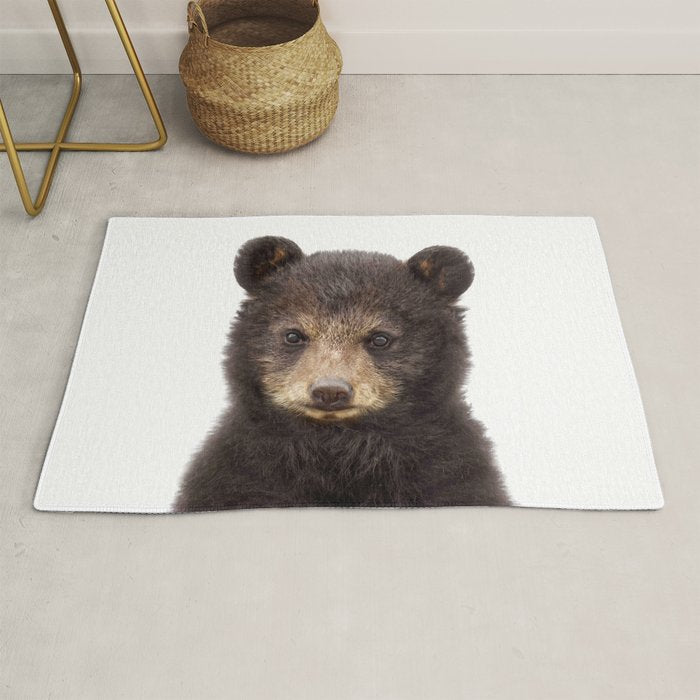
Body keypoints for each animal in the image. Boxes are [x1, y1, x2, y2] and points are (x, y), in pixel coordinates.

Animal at [173, 236, 510, 512]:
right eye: (294, 335)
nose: (330, 390)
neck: (339, 448)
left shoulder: (448, 470)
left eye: (380, 338)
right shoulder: (240, 471)